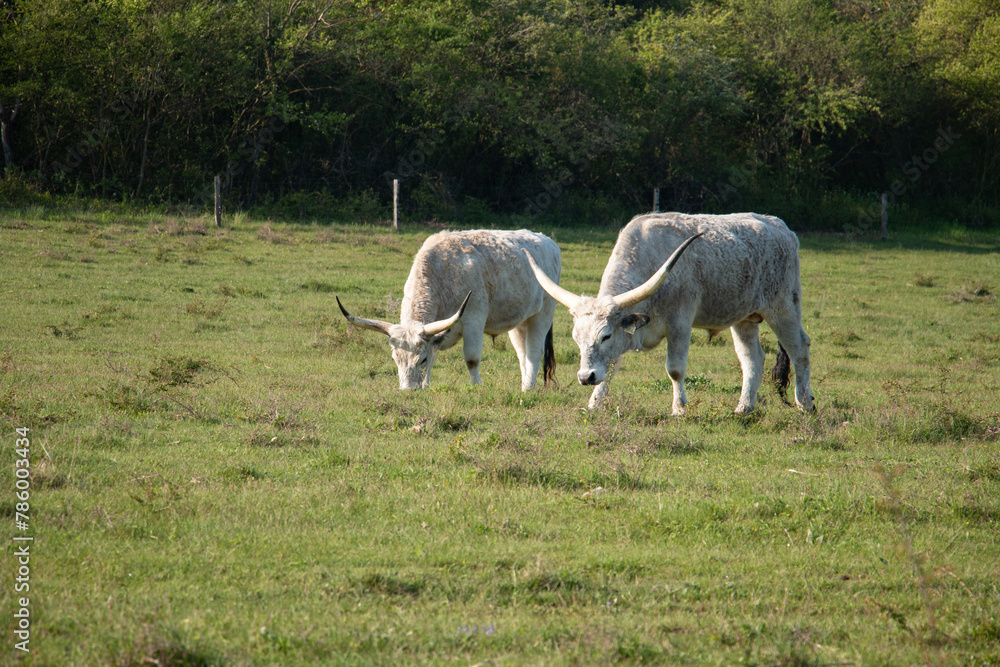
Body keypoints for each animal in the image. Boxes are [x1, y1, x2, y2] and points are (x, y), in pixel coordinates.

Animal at [337, 229, 561, 391]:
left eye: (421, 359)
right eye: (396, 359)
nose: (407, 390)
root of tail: (548, 241)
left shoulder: (473, 320)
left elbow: (471, 359)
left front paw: (476, 387)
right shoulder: (434, 333)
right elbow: (434, 355)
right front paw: (426, 386)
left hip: (543, 314)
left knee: (534, 352)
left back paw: (528, 389)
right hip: (520, 321)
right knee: (523, 354)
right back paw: (525, 386)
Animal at [522, 212, 814, 415]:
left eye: (605, 336)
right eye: (576, 339)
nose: (585, 377)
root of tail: (781, 227)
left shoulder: (680, 324)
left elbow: (674, 369)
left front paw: (679, 408)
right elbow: (611, 367)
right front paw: (595, 403)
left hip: (784, 307)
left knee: (799, 349)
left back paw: (805, 403)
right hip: (743, 318)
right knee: (752, 358)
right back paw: (743, 408)